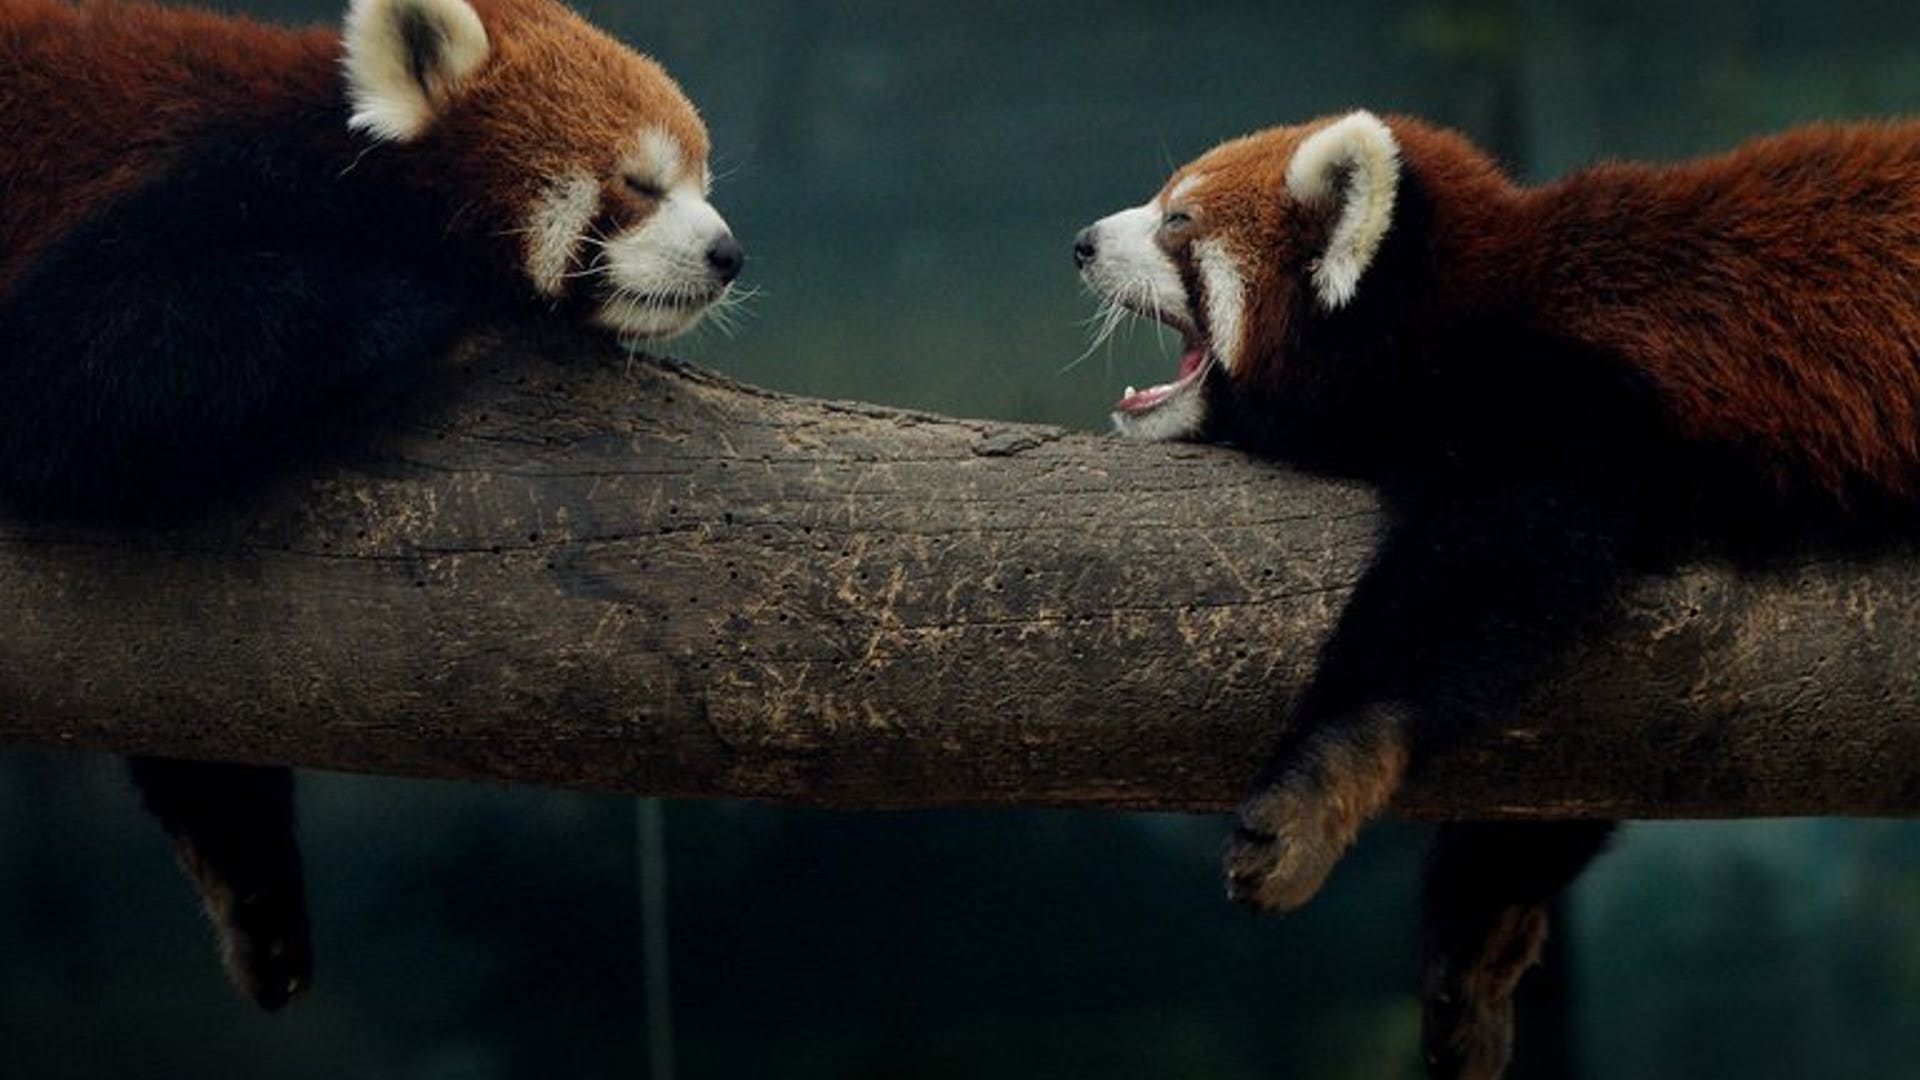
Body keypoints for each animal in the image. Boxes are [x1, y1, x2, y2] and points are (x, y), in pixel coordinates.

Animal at [1, 0, 740, 1007]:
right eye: (640, 182)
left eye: (700, 177)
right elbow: (64, 364)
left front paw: (257, 901)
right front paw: (409, 300)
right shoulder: (200, 183)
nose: (728, 253)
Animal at [1074, 110, 1920, 1079]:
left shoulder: (1580, 404)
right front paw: (1477, 946)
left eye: (1178, 220)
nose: (1081, 242)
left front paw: (1310, 785)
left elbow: (1472, 575)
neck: (1467, 312)